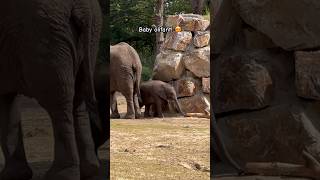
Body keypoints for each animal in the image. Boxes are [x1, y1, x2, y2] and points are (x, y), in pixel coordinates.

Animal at [0, 0, 107, 180]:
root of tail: (83, 6)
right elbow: (7, 101)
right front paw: (15, 176)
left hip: (44, 34)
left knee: (58, 100)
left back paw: (61, 175)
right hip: (88, 36)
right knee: (78, 97)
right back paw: (89, 171)